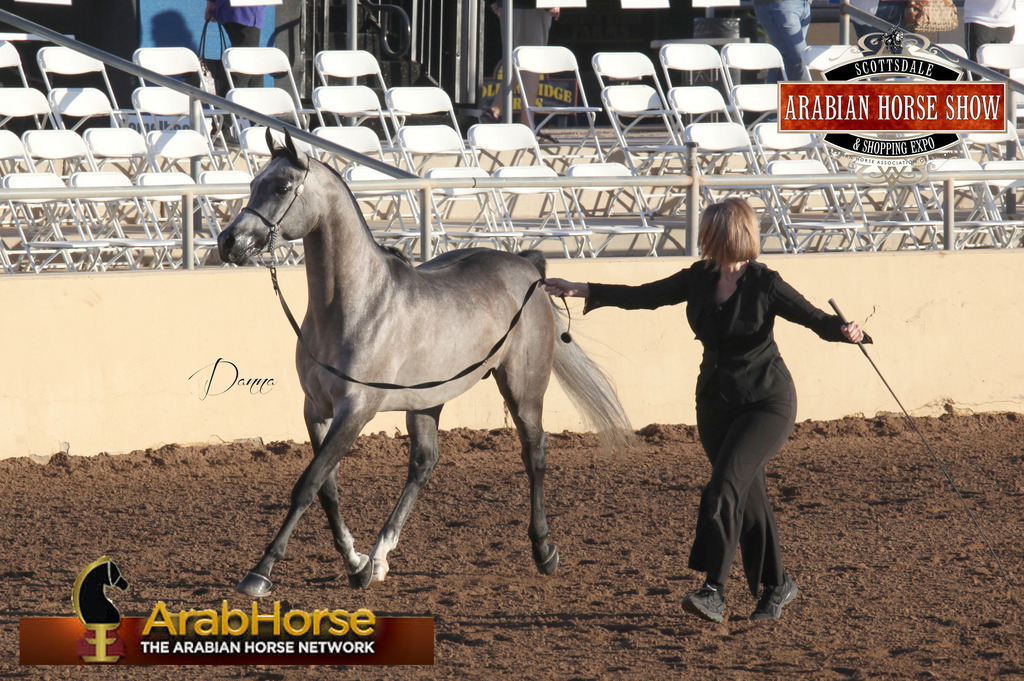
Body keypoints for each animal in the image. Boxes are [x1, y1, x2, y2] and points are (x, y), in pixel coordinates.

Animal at [218, 130, 633, 596]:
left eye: (282, 186)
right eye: (254, 183)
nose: (228, 242)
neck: (355, 304)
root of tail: (527, 266)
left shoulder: (355, 411)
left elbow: (307, 485)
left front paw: (261, 572)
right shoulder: (316, 410)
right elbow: (327, 489)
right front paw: (356, 563)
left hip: (523, 389)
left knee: (535, 453)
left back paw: (544, 551)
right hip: (427, 402)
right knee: (424, 463)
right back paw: (379, 557)